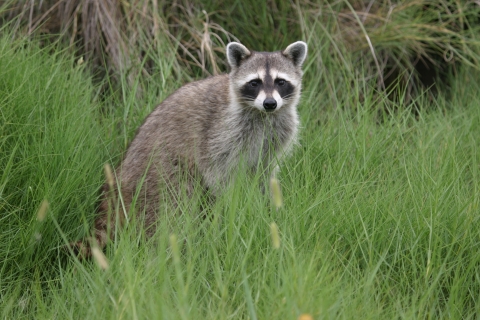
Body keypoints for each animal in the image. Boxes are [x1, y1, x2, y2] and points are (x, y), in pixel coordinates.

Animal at [73, 40, 310, 255]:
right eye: (255, 82)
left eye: (280, 82)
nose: (270, 103)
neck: (263, 115)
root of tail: (120, 179)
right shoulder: (220, 131)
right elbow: (217, 172)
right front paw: (231, 204)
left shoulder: (276, 135)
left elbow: (263, 172)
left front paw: (265, 204)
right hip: (158, 172)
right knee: (173, 205)